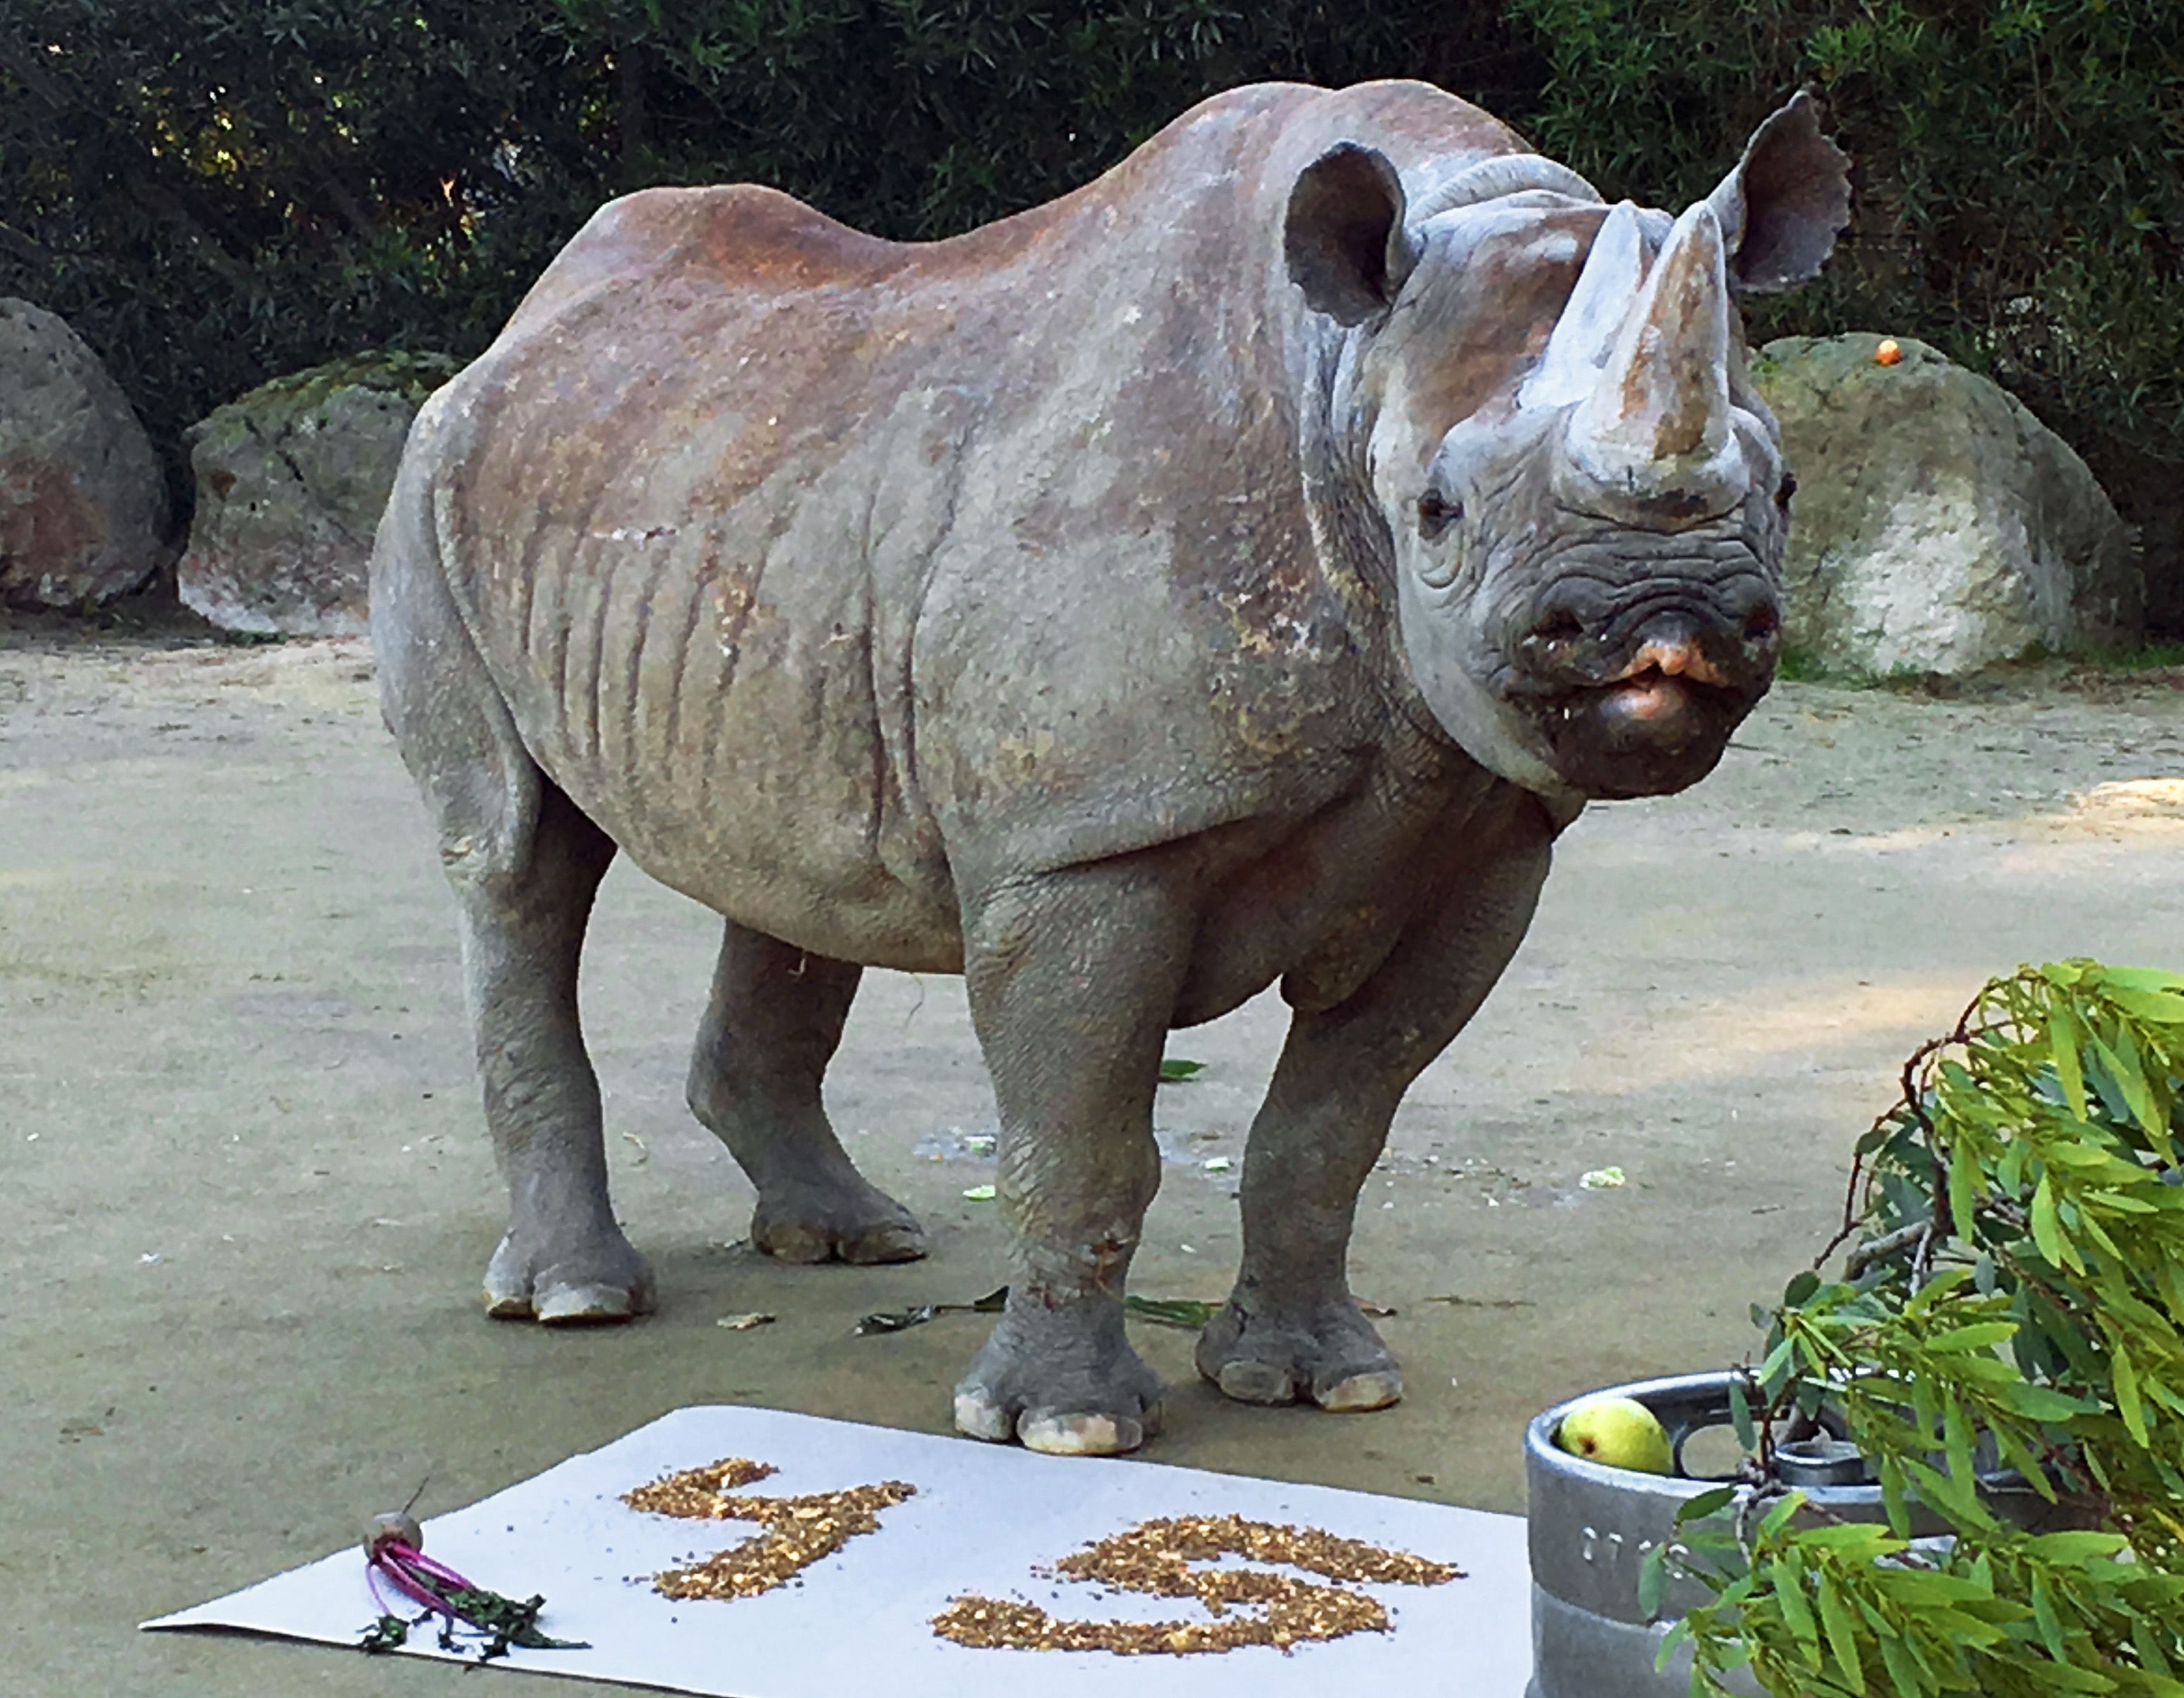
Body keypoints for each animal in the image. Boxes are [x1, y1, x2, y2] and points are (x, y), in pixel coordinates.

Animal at [372, 78, 1847, 1455]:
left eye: (1781, 492)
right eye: (1438, 510)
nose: (1667, 623)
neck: (1344, 371)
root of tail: (517, 330)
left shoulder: (1490, 841)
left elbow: (1333, 1125)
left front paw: (1317, 1381)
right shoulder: (1087, 846)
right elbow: (1080, 1140)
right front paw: (1061, 1426)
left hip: (742, 485)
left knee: (797, 866)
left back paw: (853, 1239)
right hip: (438, 478)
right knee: (515, 860)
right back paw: (575, 1299)